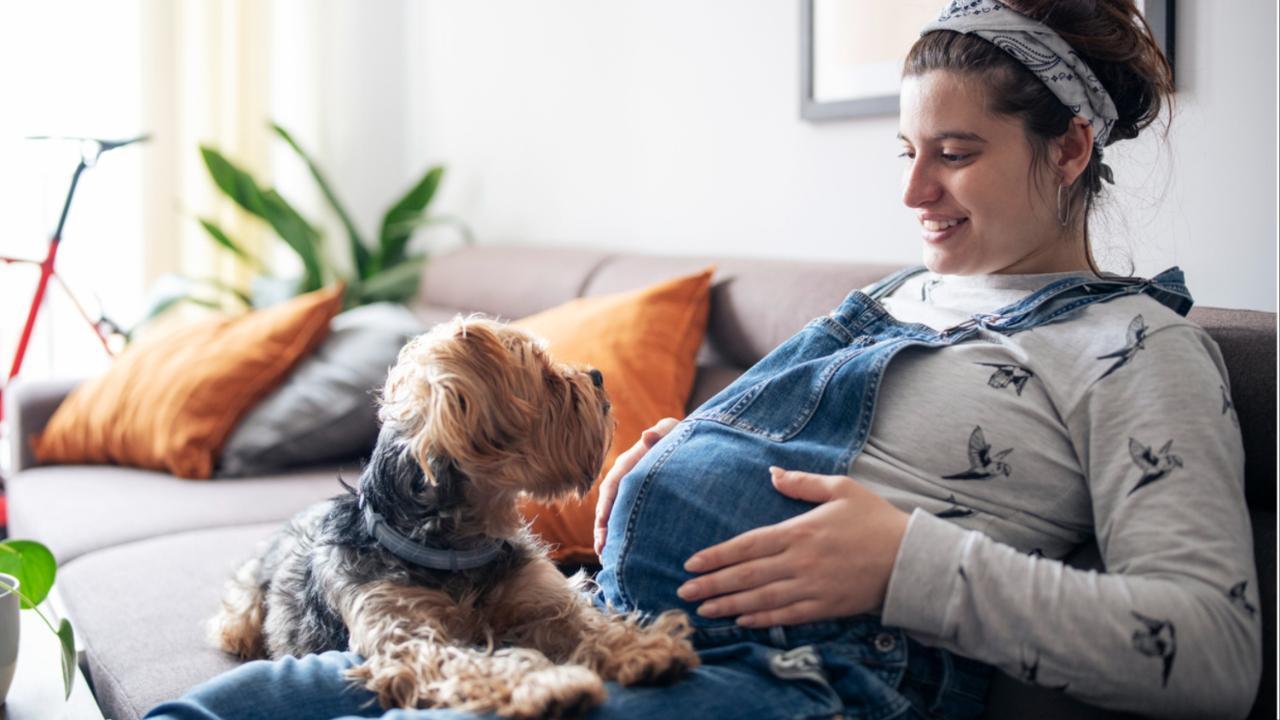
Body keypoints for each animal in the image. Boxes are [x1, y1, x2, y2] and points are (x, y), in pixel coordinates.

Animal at [215, 316, 706, 712]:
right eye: (546, 376)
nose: (598, 375)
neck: (457, 543)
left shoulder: (541, 599)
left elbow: (588, 622)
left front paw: (643, 649)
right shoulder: (407, 635)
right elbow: (475, 662)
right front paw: (549, 685)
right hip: (244, 609)